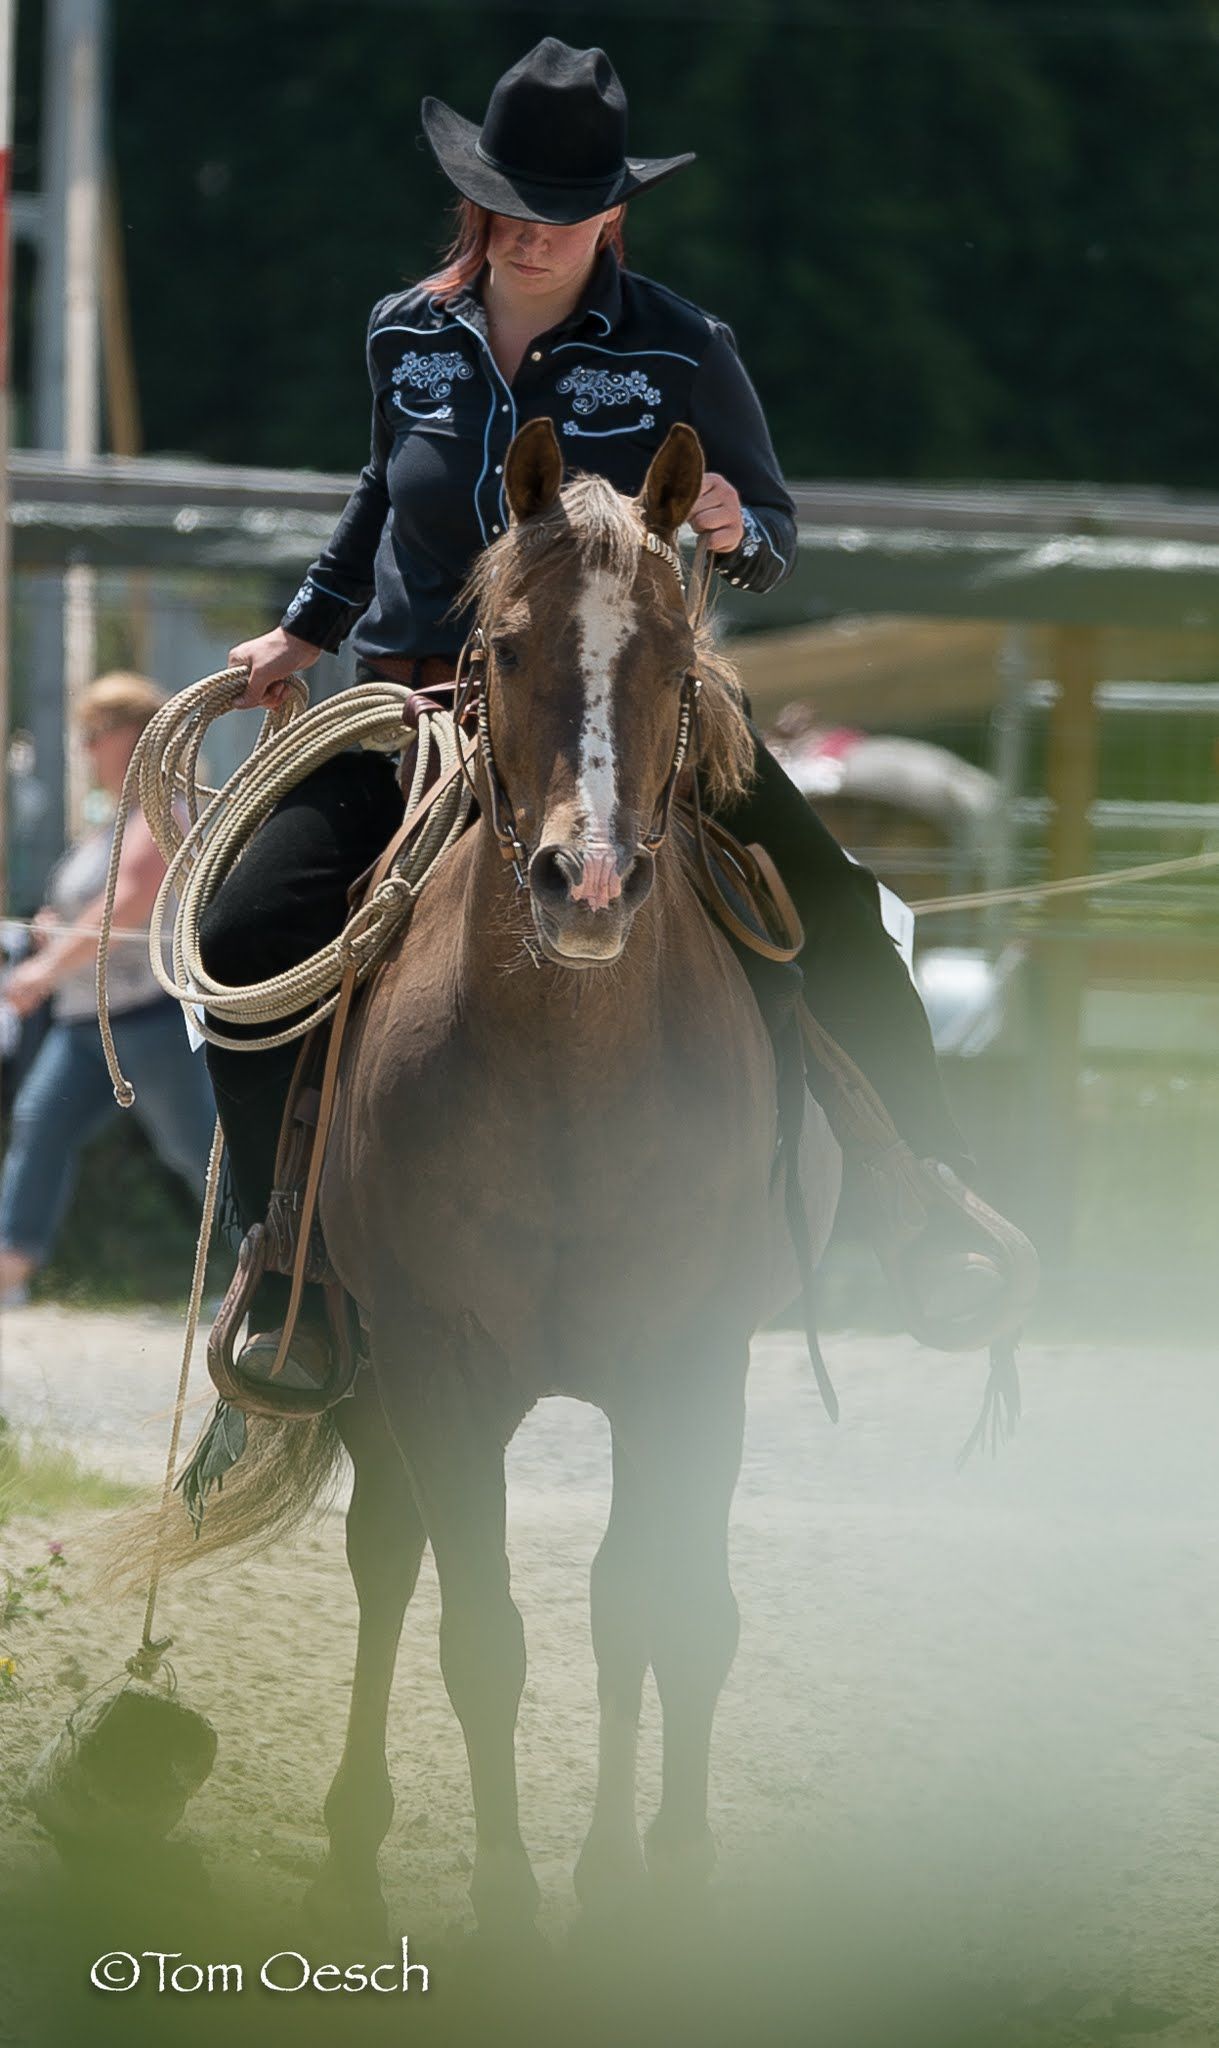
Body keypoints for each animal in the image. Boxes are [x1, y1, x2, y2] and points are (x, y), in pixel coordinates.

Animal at [165, 419, 842, 1939]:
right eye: (508, 647)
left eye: (672, 652)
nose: (583, 887)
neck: (569, 1087)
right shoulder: (433, 1360)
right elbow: (483, 1632)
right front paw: (513, 1909)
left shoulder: (694, 1361)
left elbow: (667, 1613)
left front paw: (657, 1883)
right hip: (366, 1369)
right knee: (387, 1556)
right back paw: (354, 1862)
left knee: (619, 1596)